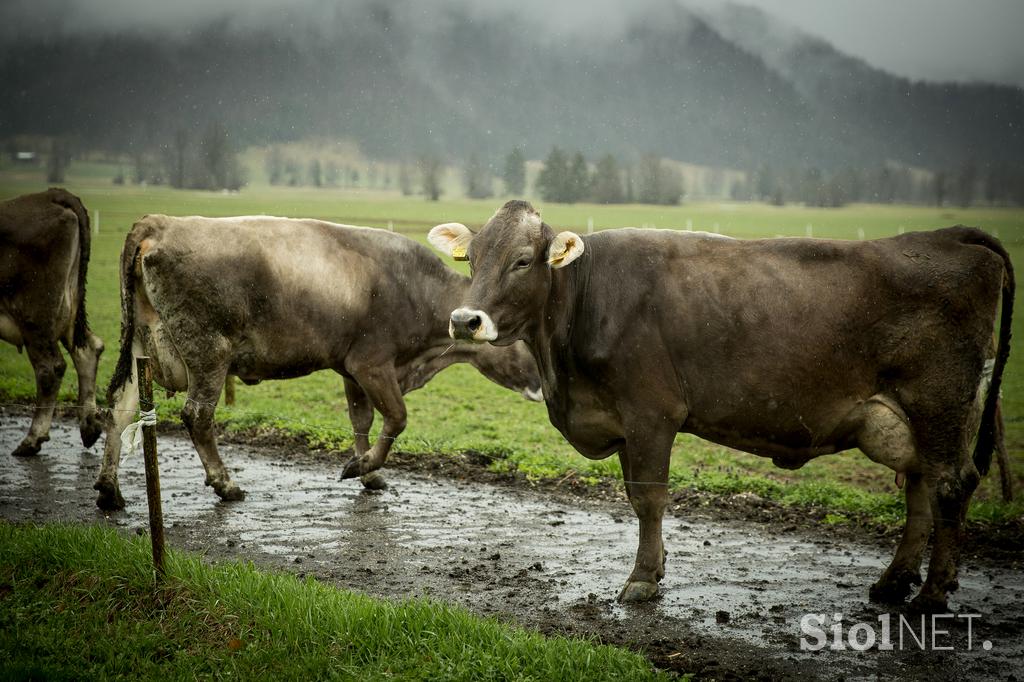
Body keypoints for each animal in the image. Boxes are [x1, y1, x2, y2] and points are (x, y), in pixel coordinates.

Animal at [0, 187, 103, 456]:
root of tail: (51, 194)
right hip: (67, 309)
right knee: (88, 349)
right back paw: (89, 426)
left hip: (36, 314)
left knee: (50, 368)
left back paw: (32, 438)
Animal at [98, 215, 540, 507]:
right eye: (527, 341)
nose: (543, 387)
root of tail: (161, 222)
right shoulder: (372, 364)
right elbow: (396, 418)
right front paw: (362, 467)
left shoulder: (351, 369)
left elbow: (362, 420)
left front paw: (367, 469)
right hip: (208, 351)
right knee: (198, 416)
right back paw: (226, 484)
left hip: (140, 346)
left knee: (120, 408)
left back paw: (109, 489)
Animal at [428, 199, 1011, 606]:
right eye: (472, 258)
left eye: (523, 261)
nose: (464, 320)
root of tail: (951, 238)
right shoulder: (621, 419)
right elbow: (635, 498)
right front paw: (657, 566)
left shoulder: (652, 414)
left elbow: (649, 499)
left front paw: (642, 580)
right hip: (912, 418)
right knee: (921, 487)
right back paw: (894, 583)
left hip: (940, 403)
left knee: (950, 485)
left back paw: (932, 595)